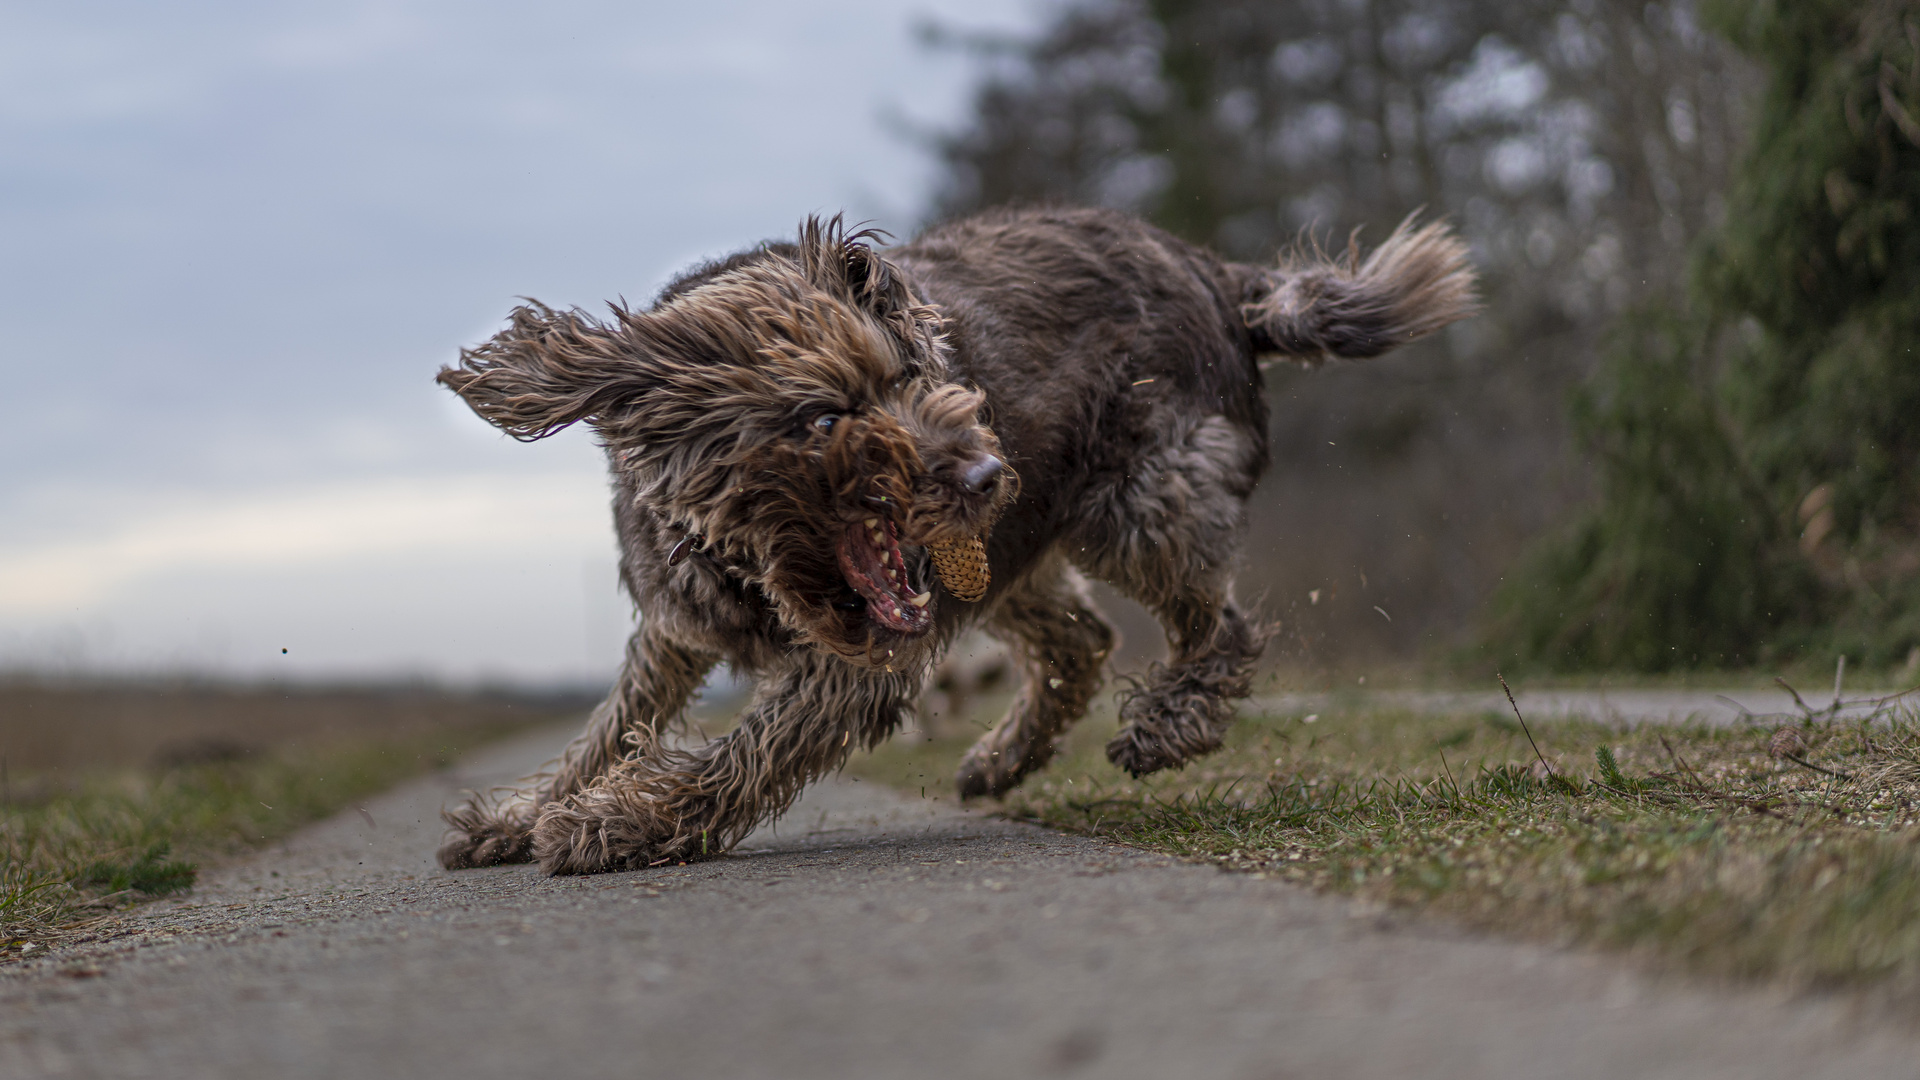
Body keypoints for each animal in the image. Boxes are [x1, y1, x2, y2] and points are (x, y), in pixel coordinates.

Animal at [441, 205, 1474, 868]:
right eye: (823, 418)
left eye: (910, 375)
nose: (984, 475)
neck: (751, 561)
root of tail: (1217, 272)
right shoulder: (676, 626)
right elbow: (608, 731)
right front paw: (523, 815)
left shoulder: (861, 663)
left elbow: (743, 752)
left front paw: (614, 826)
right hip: (1010, 558)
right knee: (1082, 641)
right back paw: (1003, 757)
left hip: (1139, 506)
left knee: (1220, 631)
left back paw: (1165, 724)